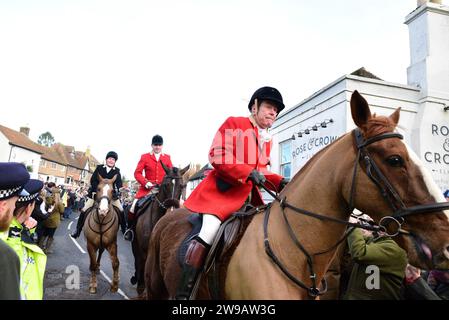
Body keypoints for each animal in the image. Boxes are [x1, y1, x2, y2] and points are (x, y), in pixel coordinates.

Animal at [132, 164, 190, 296]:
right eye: (165, 185)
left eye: (182, 186)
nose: (172, 211)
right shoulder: (144, 250)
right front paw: (141, 287)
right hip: (136, 243)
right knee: (137, 260)